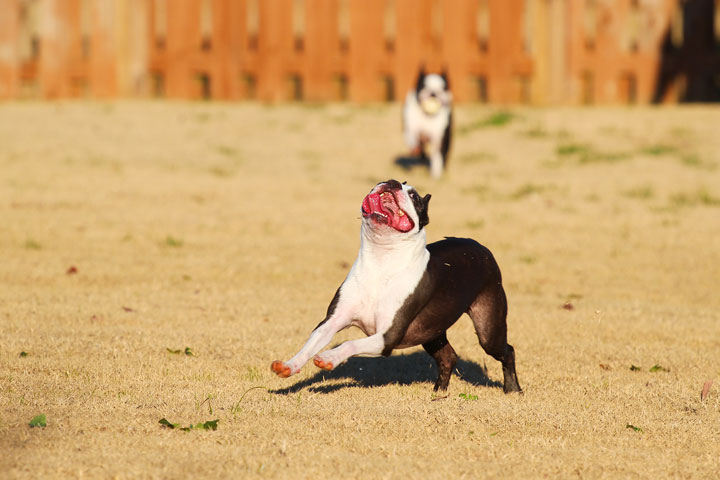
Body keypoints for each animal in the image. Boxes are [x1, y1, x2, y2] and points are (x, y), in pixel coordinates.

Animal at [272, 180, 520, 394]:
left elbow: (350, 344)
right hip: (432, 331)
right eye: (380, 182)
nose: (392, 183)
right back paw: (438, 393)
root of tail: (479, 246)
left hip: (488, 328)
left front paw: (329, 358)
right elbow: (310, 344)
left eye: (414, 196)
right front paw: (289, 366)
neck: (381, 262)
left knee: (506, 350)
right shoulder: (332, 321)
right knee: (448, 357)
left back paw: (513, 389)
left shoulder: (386, 337)